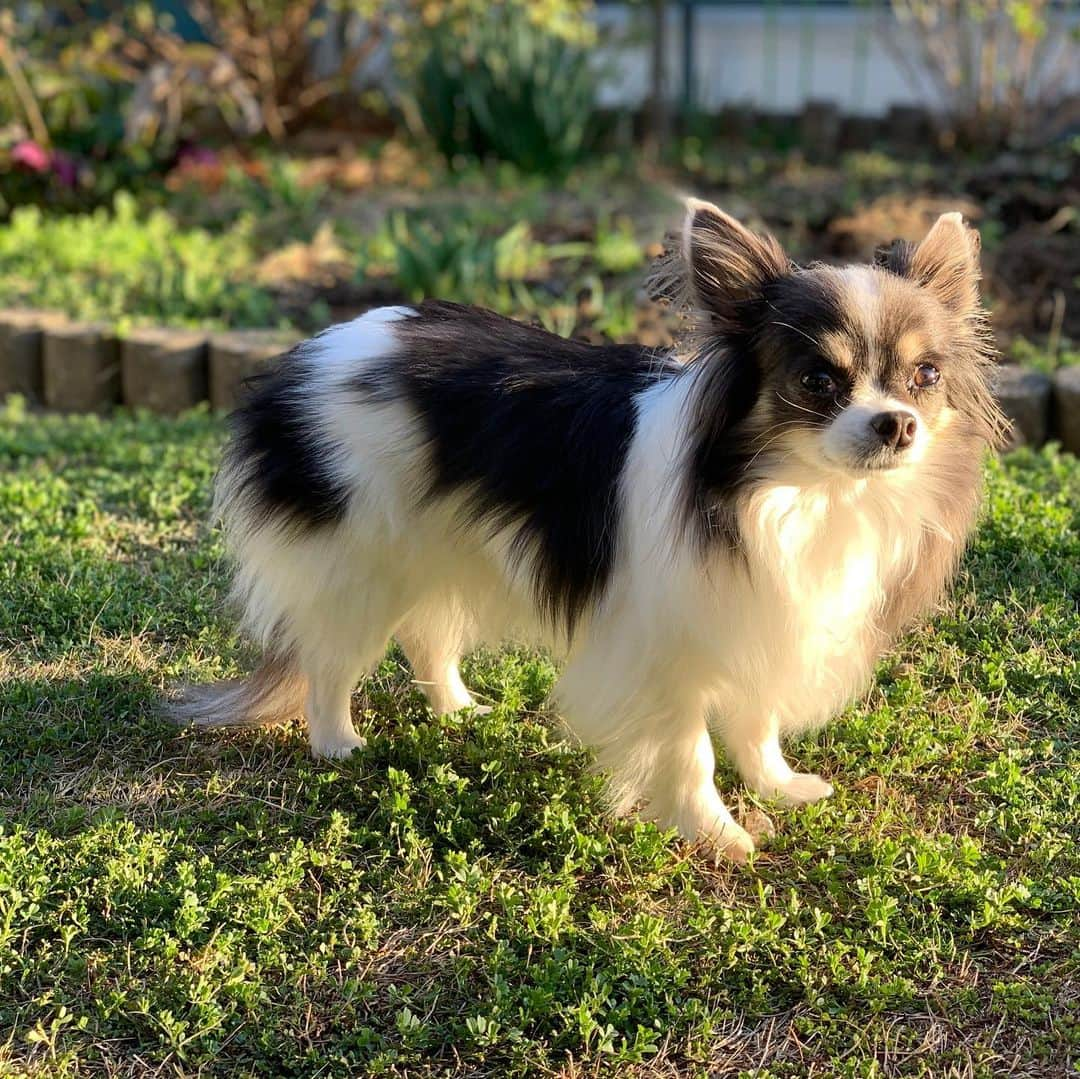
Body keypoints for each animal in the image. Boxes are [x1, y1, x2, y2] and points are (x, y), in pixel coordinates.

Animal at [168, 200, 1002, 859]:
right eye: (817, 381)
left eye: (925, 377)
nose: (896, 423)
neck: (803, 494)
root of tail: (303, 359)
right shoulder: (663, 643)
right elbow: (690, 750)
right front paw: (720, 834)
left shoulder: (757, 612)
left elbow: (756, 719)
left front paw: (779, 784)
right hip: (362, 556)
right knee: (333, 656)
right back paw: (337, 741)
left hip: (439, 544)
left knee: (427, 632)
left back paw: (458, 707)